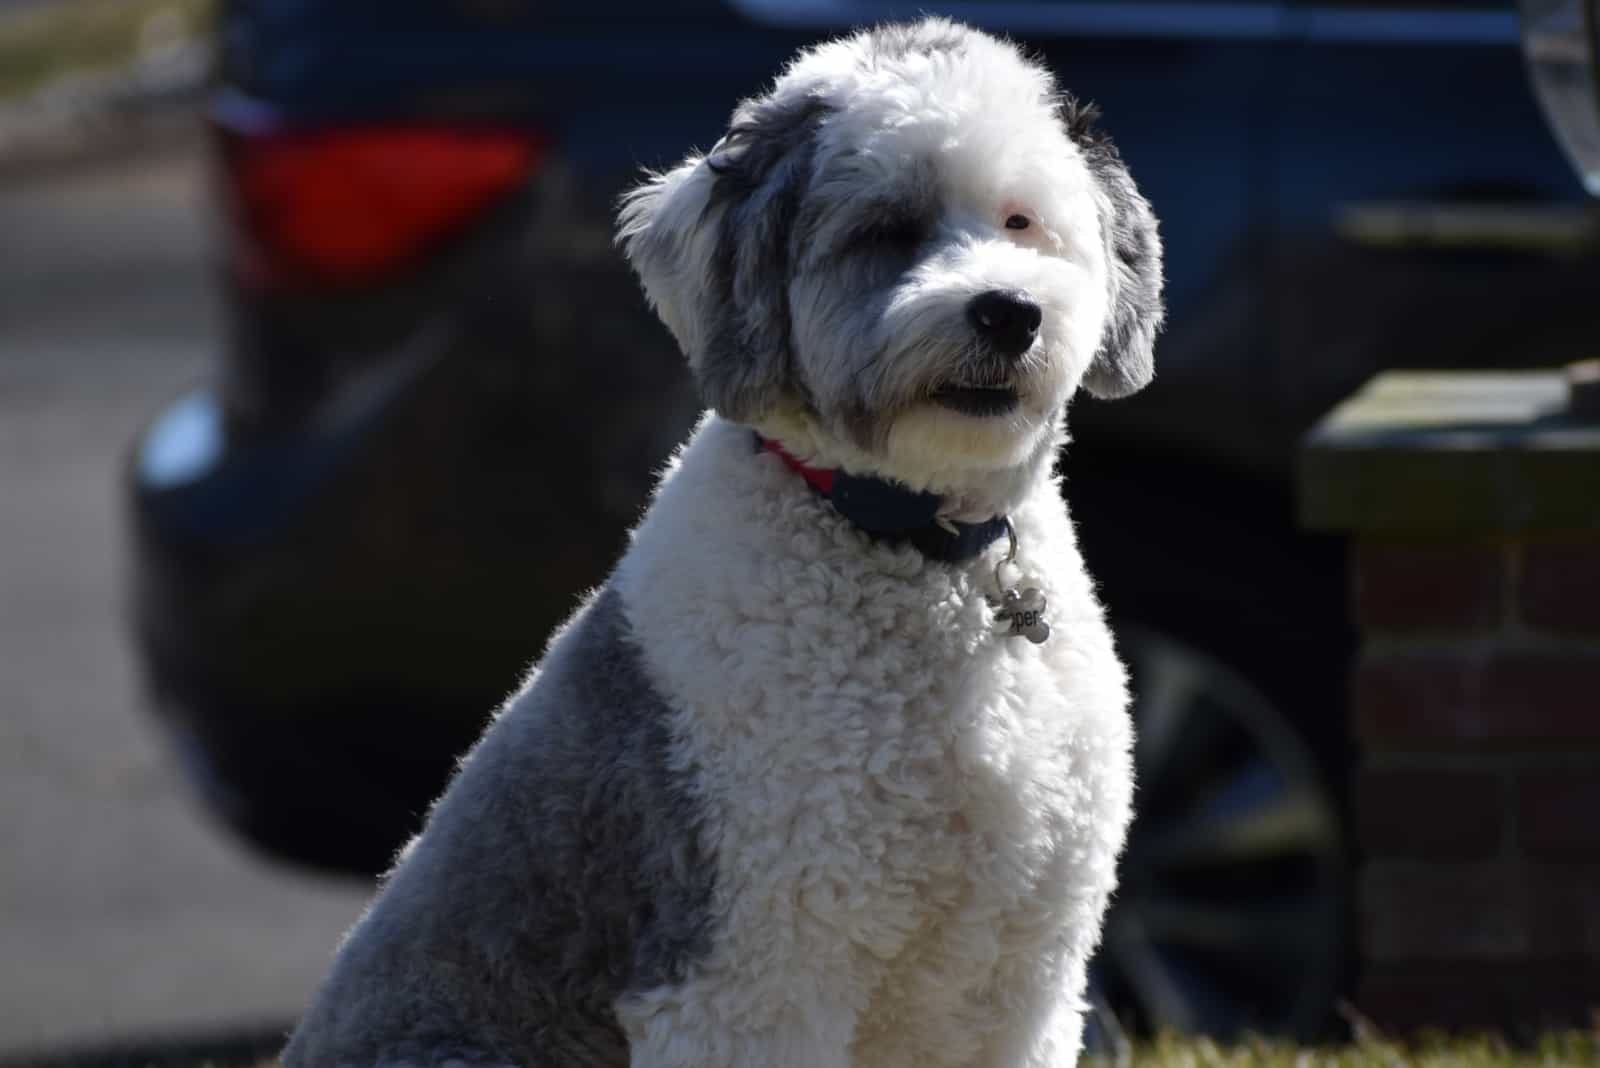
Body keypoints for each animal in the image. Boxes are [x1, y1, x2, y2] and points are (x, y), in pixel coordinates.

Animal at [284, 18, 1164, 1068]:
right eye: (886, 231)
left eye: (1022, 222)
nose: (1008, 311)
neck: (919, 548)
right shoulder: (747, 968)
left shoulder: (1023, 977)